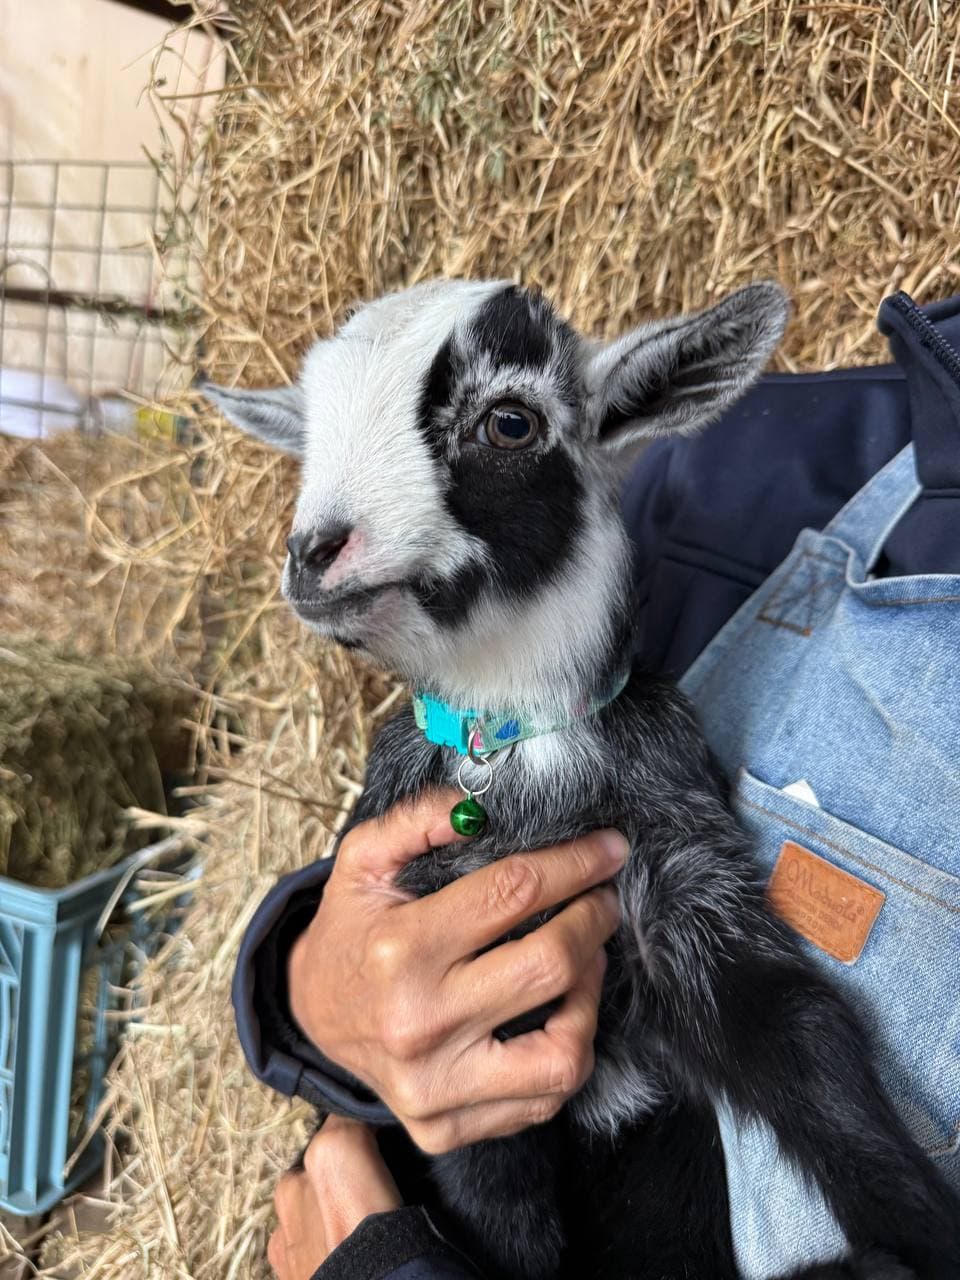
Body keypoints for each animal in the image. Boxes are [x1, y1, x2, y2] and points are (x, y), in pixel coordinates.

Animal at [205, 280, 960, 1280]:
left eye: (510, 421)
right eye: (311, 431)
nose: (313, 552)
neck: (520, 748)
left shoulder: (691, 892)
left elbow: (815, 1050)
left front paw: (922, 1234)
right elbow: (498, 1195)